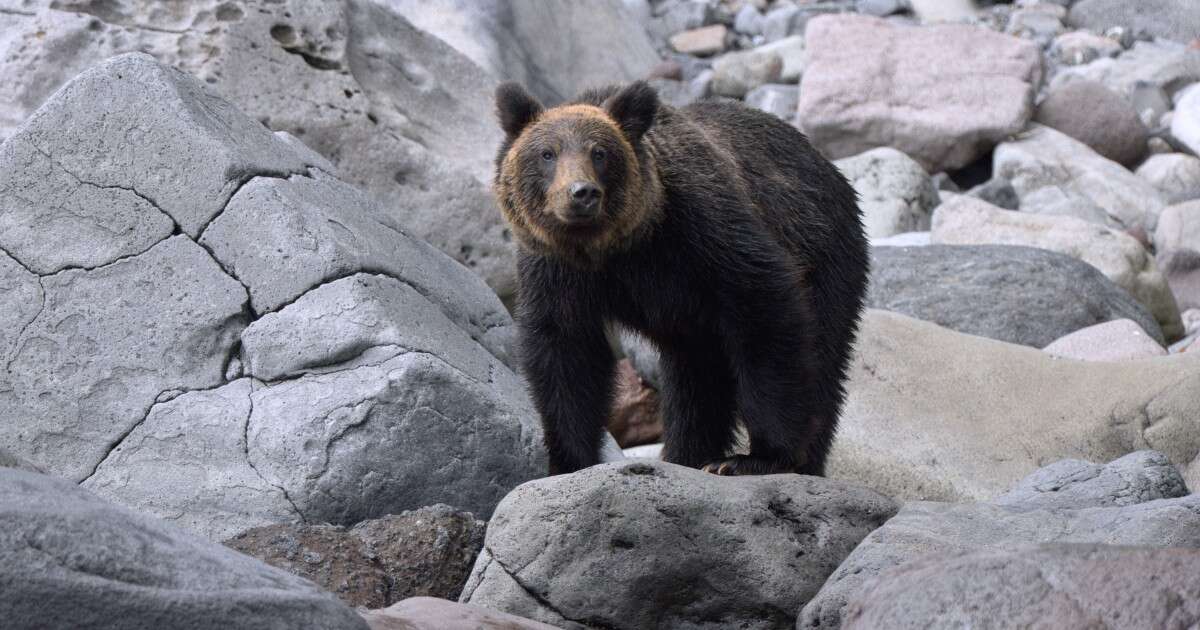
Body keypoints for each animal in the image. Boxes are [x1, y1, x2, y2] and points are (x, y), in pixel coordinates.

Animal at [492, 82, 868, 477]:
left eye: (600, 152)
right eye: (547, 153)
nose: (582, 193)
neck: (614, 248)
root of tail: (826, 165)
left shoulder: (703, 232)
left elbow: (765, 310)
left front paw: (759, 456)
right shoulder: (556, 273)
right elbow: (565, 353)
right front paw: (569, 460)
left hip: (827, 254)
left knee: (824, 356)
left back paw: (801, 461)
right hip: (692, 325)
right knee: (695, 380)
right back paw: (687, 454)